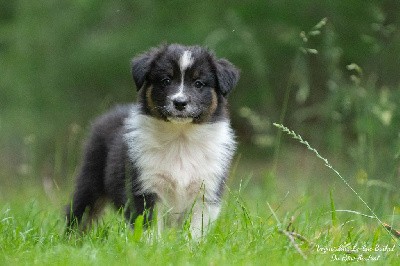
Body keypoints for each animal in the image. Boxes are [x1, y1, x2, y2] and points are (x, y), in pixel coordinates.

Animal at [66, 44, 239, 239]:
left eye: (199, 83)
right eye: (165, 80)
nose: (180, 103)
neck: (180, 137)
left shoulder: (206, 191)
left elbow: (196, 230)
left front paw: (192, 246)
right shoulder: (145, 187)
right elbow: (150, 228)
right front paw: (152, 245)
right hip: (90, 180)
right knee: (80, 214)